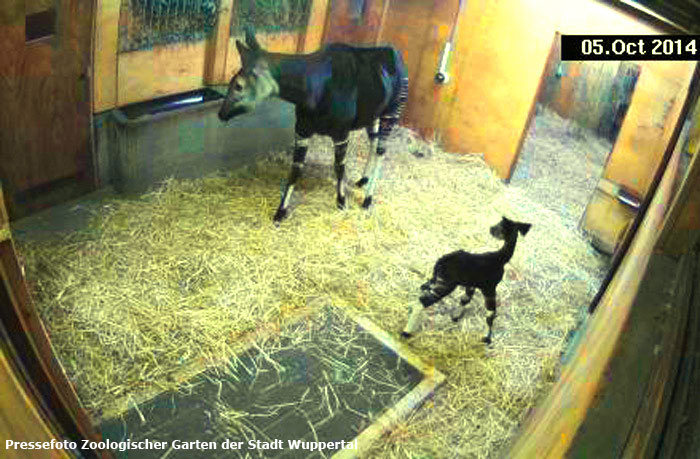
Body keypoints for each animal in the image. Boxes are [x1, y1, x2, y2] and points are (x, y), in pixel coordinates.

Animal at [219, 27, 410, 225]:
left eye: (238, 86)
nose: (221, 114)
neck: (314, 88)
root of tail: (395, 52)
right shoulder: (302, 131)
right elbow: (295, 170)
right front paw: (280, 212)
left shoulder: (341, 133)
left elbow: (339, 167)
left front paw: (341, 202)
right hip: (373, 115)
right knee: (374, 142)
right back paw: (363, 180)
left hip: (393, 110)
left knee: (381, 150)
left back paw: (367, 199)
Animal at [402, 219, 532, 344]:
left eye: (499, 226)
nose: (490, 229)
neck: (500, 258)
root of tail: (441, 261)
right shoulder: (489, 287)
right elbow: (491, 313)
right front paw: (487, 339)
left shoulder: (472, 284)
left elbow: (465, 300)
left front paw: (455, 317)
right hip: (446, 285)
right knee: (422, 302)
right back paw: (406, 332)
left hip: (437, 280)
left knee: (423, 289)